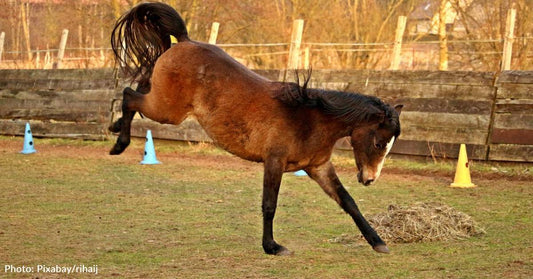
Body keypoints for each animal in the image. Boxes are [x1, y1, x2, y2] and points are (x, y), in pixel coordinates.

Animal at [110, 1, 402, 256]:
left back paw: (115, 127)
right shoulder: (274, 162)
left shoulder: (319, 167)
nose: (370, 179)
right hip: (168, 111)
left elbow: (348, 202)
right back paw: (119, 144)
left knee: (138, 88)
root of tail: (184, 41)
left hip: (164, 102)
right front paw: (272, 247)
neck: (311, 119)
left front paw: (378, 242)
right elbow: (269, 204)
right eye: (378, 143)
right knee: (129, 95)